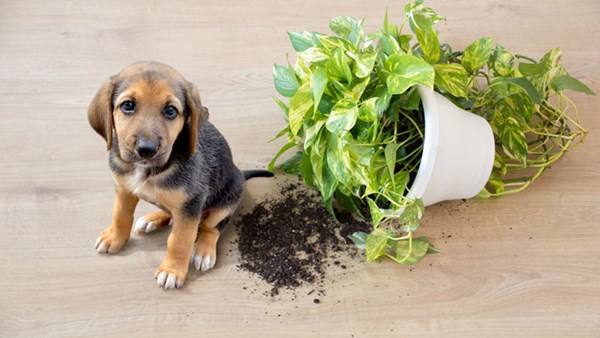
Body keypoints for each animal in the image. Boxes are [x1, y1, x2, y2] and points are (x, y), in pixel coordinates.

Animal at [88, 62, 274, 290]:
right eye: (128, 105)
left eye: (170, 111)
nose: (146, 150)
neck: (148, 170)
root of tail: (239, 172)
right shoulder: (124, 188)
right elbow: (120, 215)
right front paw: (114, 237)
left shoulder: (191, 204)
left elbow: (179, 240)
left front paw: (172, 271)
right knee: (170, 212)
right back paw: (152, 219)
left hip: (225, 201)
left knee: (212, 227)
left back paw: (203, 250)